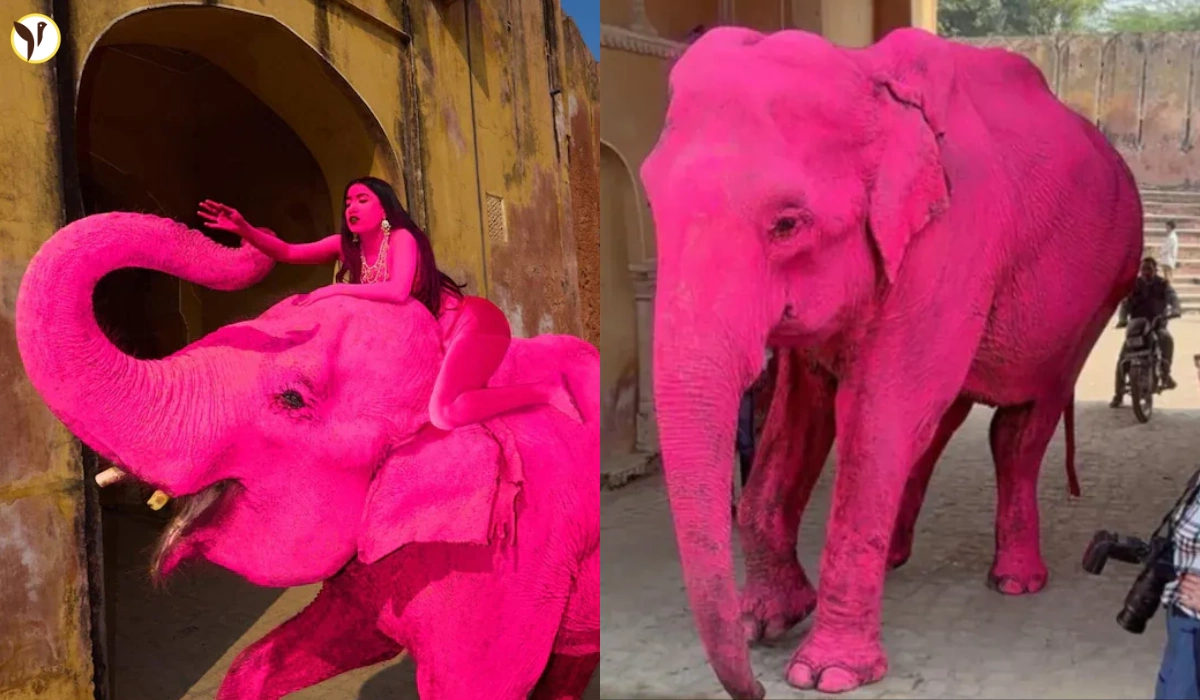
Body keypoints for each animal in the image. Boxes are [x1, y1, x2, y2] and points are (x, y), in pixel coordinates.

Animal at [639, 26, 1143, 699]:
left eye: (788, 224)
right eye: (652, 205)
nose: (756, 688)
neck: (868, 77)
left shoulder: (951, 239)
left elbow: (877, 412)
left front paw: (826, 673)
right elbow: (805, 412)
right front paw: (766, 622)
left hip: (1099, 294)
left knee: (1018, 424)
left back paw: (1014, 581)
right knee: (941, 420)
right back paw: (898, 557)